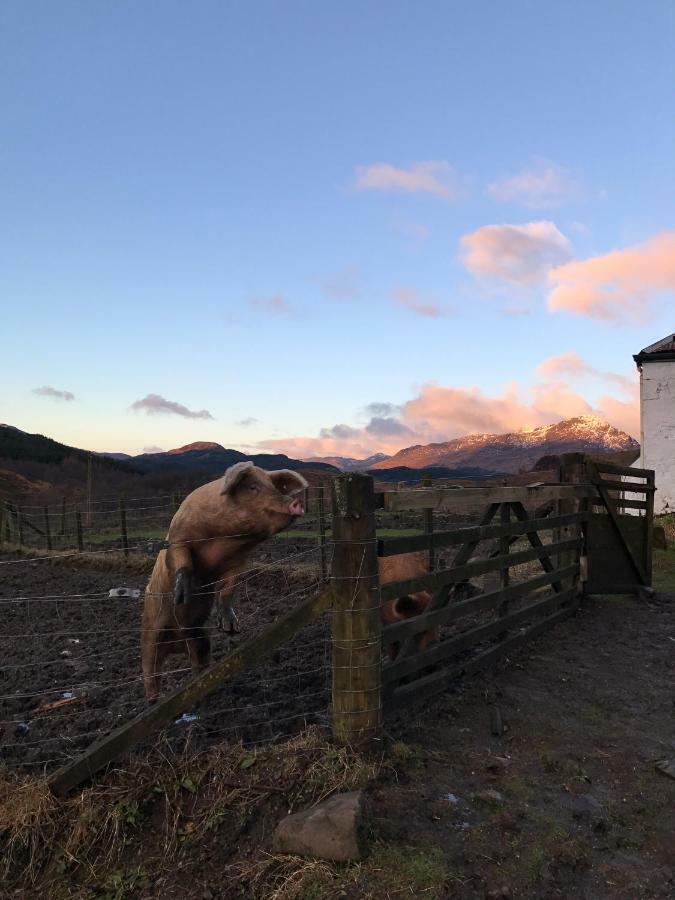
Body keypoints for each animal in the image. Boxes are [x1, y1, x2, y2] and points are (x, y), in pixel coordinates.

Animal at [141, 460, 308, 700]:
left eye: (275, 487)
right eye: (252, 488)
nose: (296, 502)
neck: (224, 539)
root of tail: (177, 642)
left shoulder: (236, 562)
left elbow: (229, 589)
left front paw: (231, 629)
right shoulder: (178, 538)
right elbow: (183, 562)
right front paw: (182, 595)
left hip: (200, 637)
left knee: (198, 662)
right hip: (150, 637)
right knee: (150, 671)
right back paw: (154, 700)